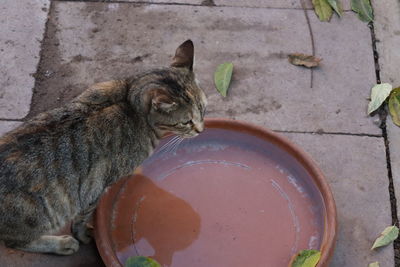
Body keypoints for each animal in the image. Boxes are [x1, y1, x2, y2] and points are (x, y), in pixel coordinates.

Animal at [0, 39, 206, 255]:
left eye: (203, 110)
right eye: (186, 122)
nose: (201, 130)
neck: (129, 99)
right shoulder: (95, 187)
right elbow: (82, 218)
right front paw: (81, 236)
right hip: (43, 213)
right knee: (13, 241)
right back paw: (62, 244)